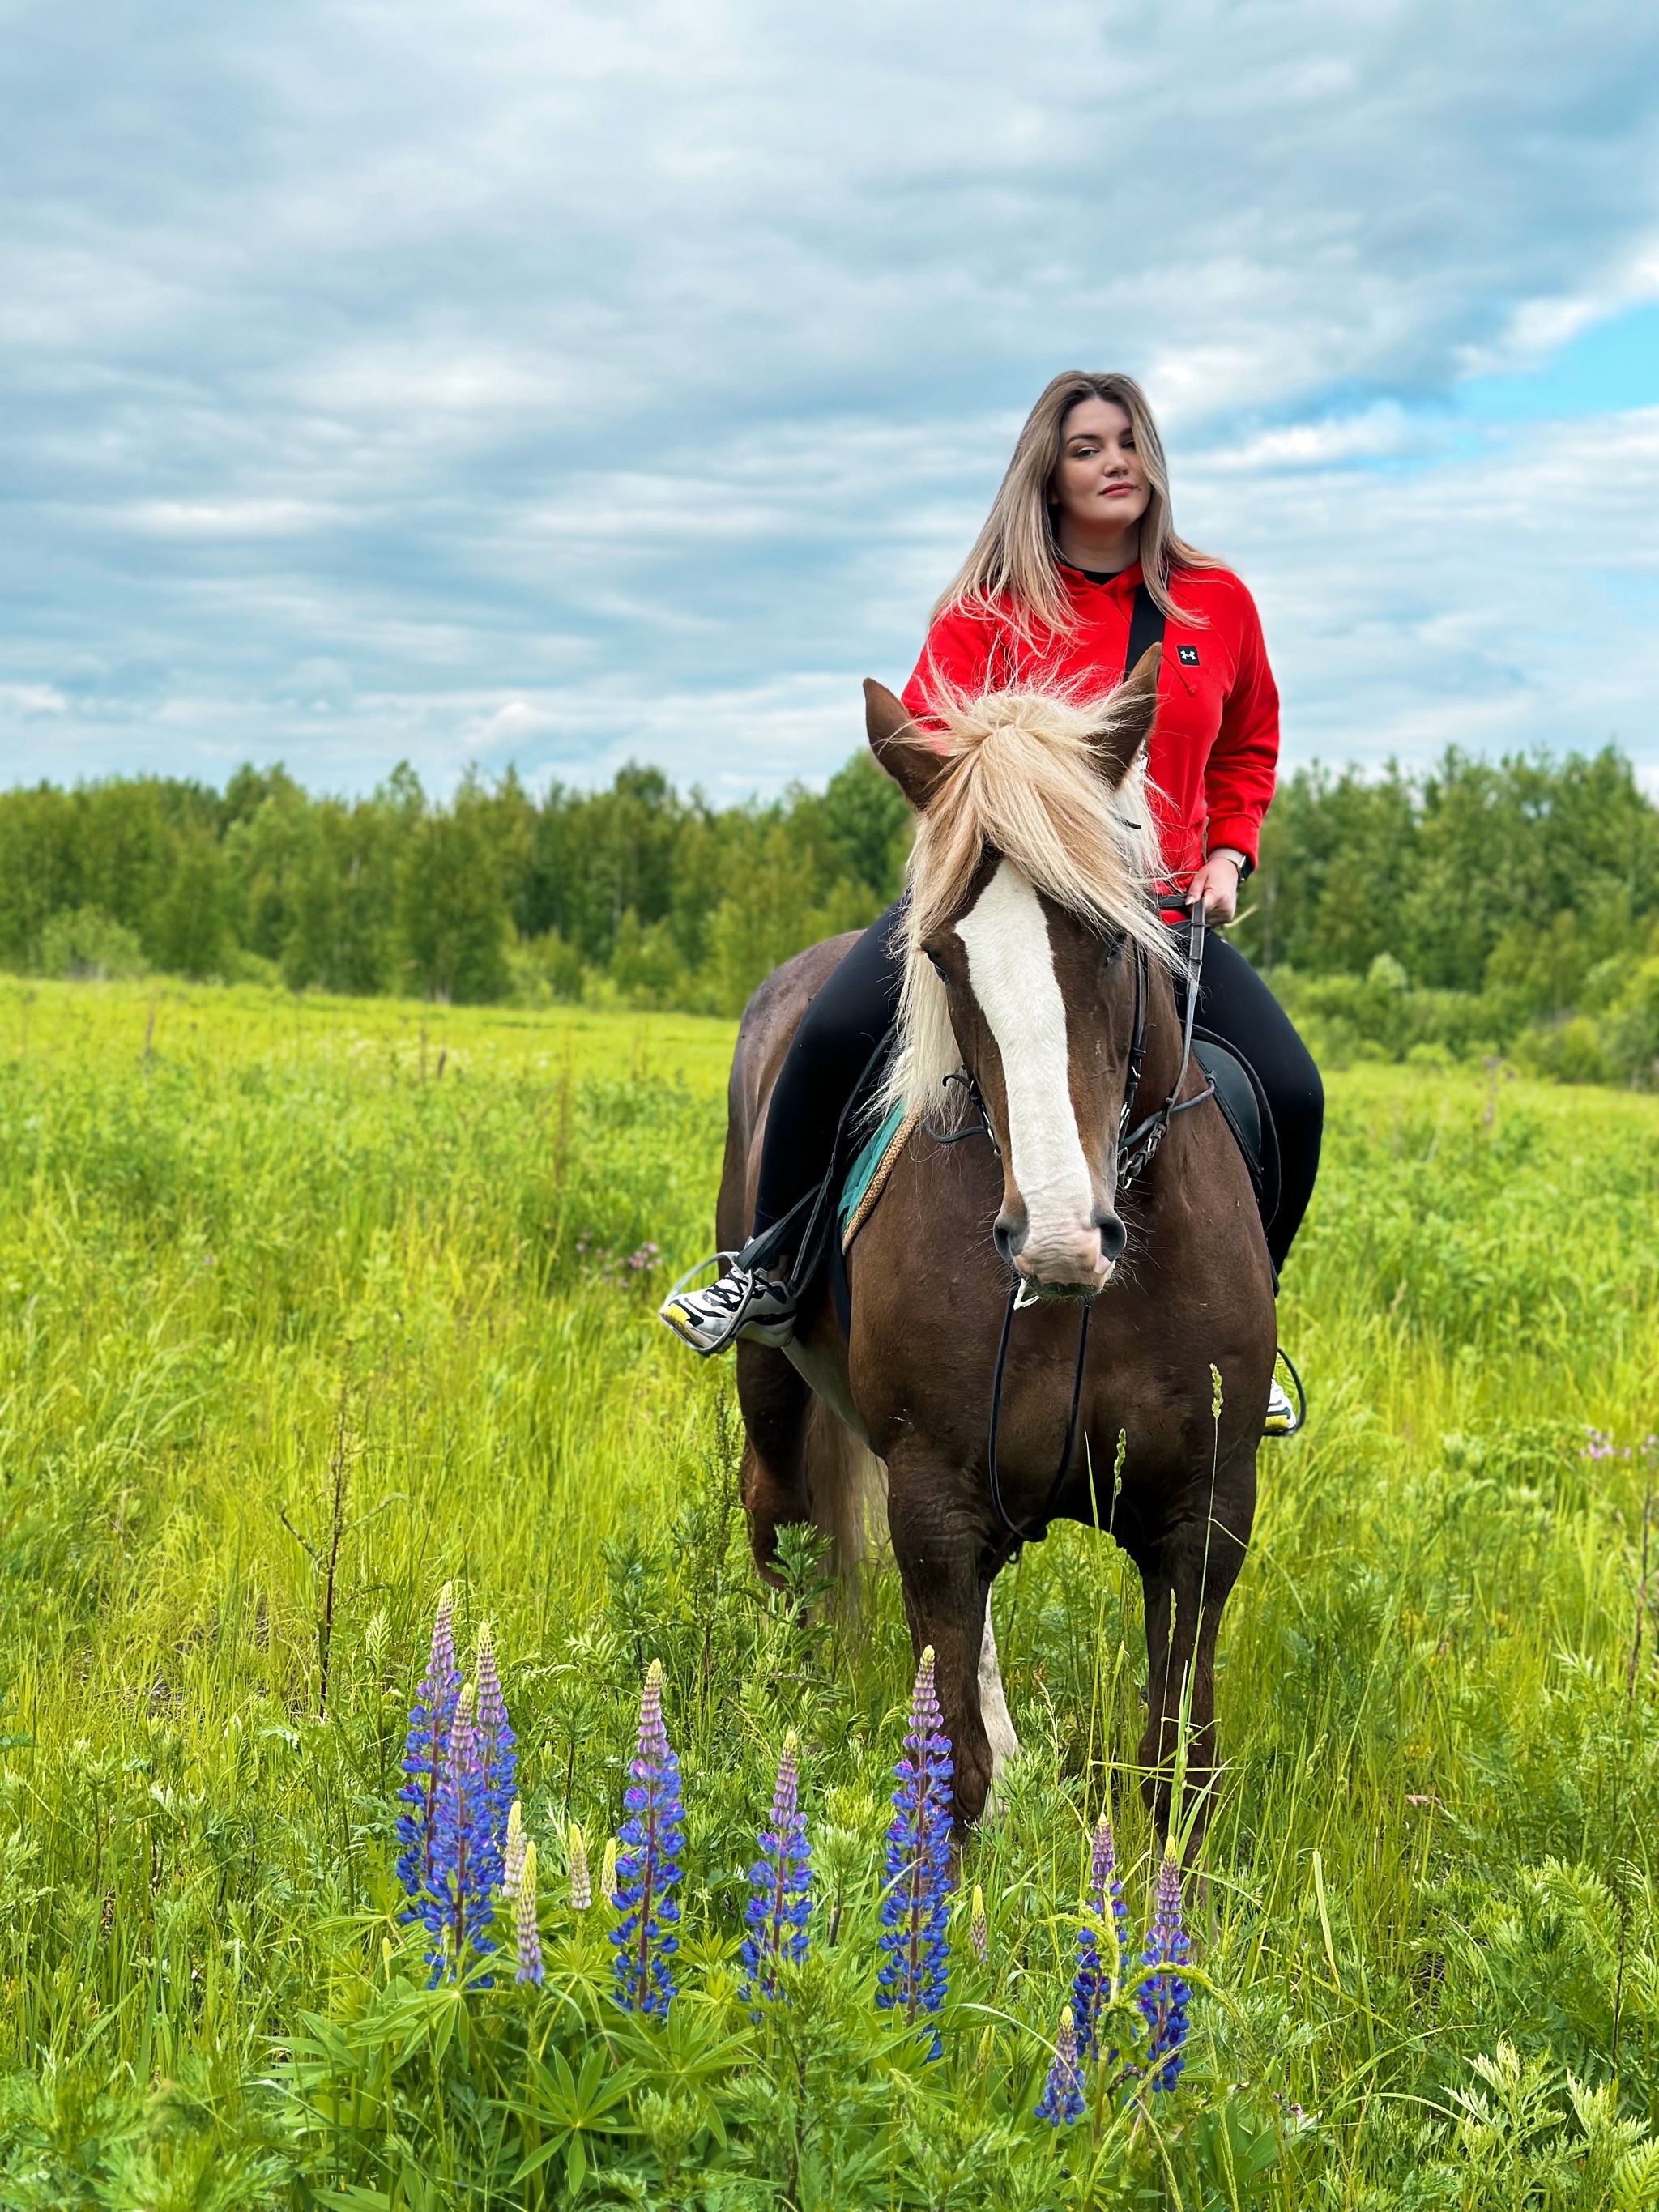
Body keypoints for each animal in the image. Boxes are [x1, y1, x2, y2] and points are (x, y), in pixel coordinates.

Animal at [721, 654, 1282, 1849]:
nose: (1060, 1238)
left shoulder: (1203, 1514)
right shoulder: (935, 1498)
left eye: (1112, 936)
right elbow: (955, 1780)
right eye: (942, 955)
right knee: (778, 1516)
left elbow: (1178, 1765)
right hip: (775, 1386)